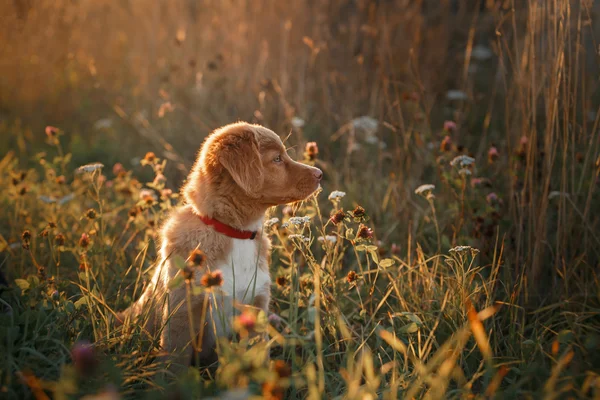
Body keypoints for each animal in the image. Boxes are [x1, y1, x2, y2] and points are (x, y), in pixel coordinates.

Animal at [119, 122, 322, 368]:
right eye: (277, 159)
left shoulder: (256, 306)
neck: (236, 234)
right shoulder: (183, 312)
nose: (320, 174)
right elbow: (174, 365)